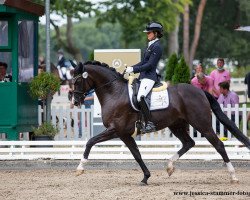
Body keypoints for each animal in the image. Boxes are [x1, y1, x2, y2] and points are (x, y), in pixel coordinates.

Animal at [73, 60, 250, 184]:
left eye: (77, 81)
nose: (75, 101)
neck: (114, 92)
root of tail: (200, 91)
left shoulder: (116, 130)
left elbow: (90, 142)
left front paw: (80, 168)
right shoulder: (124, 134)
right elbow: (137, 154)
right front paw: (146, 177)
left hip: (202, 124)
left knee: (218, 145)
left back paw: (233, 176)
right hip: (176, 125)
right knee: (189, 143)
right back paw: (169, 166)